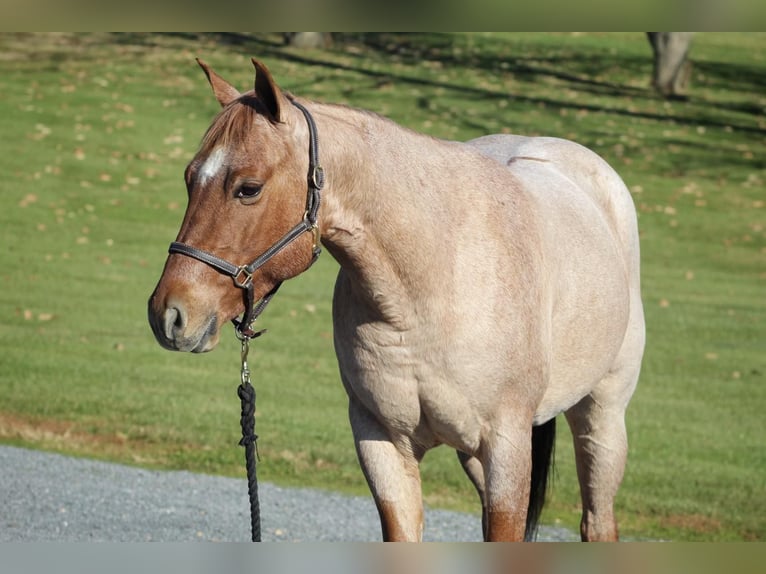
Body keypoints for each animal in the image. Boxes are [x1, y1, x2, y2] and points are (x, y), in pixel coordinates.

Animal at [147, 58, 644, 544]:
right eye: (190, 179)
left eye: (248, 188)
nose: (169, 314)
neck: (428, 293)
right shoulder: (382, 442)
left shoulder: (507, 447)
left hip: (602, 420)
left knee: (598, 520)